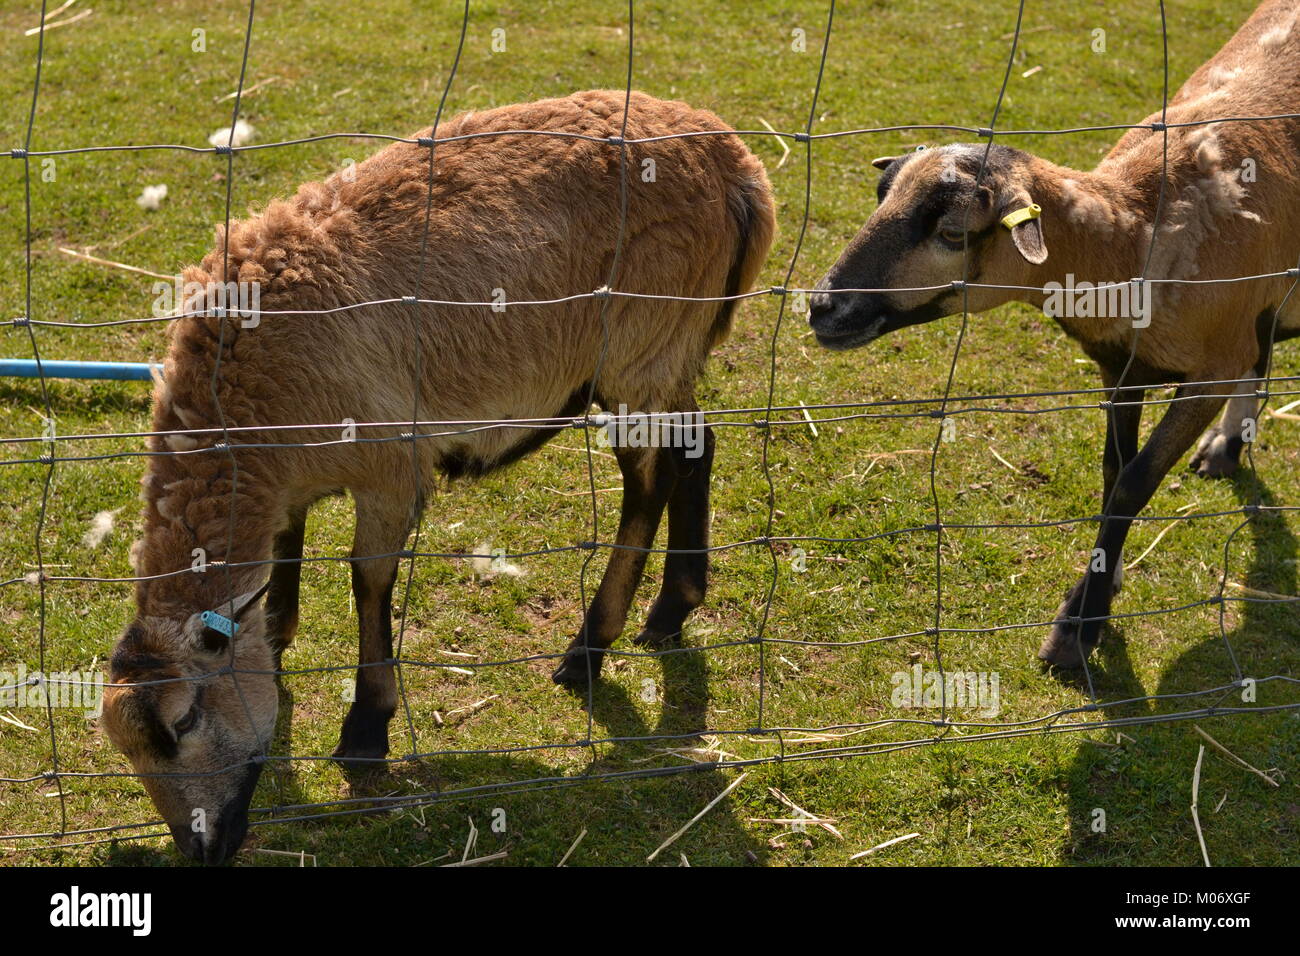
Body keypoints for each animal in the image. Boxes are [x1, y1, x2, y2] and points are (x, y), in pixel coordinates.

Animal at [101, 89, 775, 864]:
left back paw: (588, 649)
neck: (245, 396)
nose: (201, 849)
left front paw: (367, 728)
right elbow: (286, 557)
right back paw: (672, 609)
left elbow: (368, 580)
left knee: (648, 483)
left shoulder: (390, 466)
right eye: (127, 751)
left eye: (182, 723)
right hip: (670, 348)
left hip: (641, 341)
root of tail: (734, 161)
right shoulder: (292, 478)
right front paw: (279, 635)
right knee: (698, 446)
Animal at [807, 0, 1300, 669]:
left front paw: (1078, 624)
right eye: (881, 197)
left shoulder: (1209, 371)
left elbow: (1134, 483)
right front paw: (1101, 581)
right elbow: (1113, 471)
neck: (1133, 236)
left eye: (954, 233)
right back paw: (1226, 447)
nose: (821, 308)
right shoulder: (1121, 365)